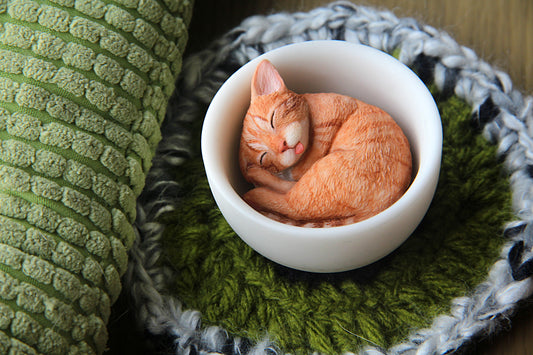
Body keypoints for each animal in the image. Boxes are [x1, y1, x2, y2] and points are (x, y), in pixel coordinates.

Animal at [238, 59, 412, 227]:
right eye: (263, 156)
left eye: (272, 119)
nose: (282, 145)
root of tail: (377, 209)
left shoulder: (335, 113)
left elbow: (313, 153)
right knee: (291, 200)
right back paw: (255, 182)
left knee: (291, 201)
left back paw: (254, 189)